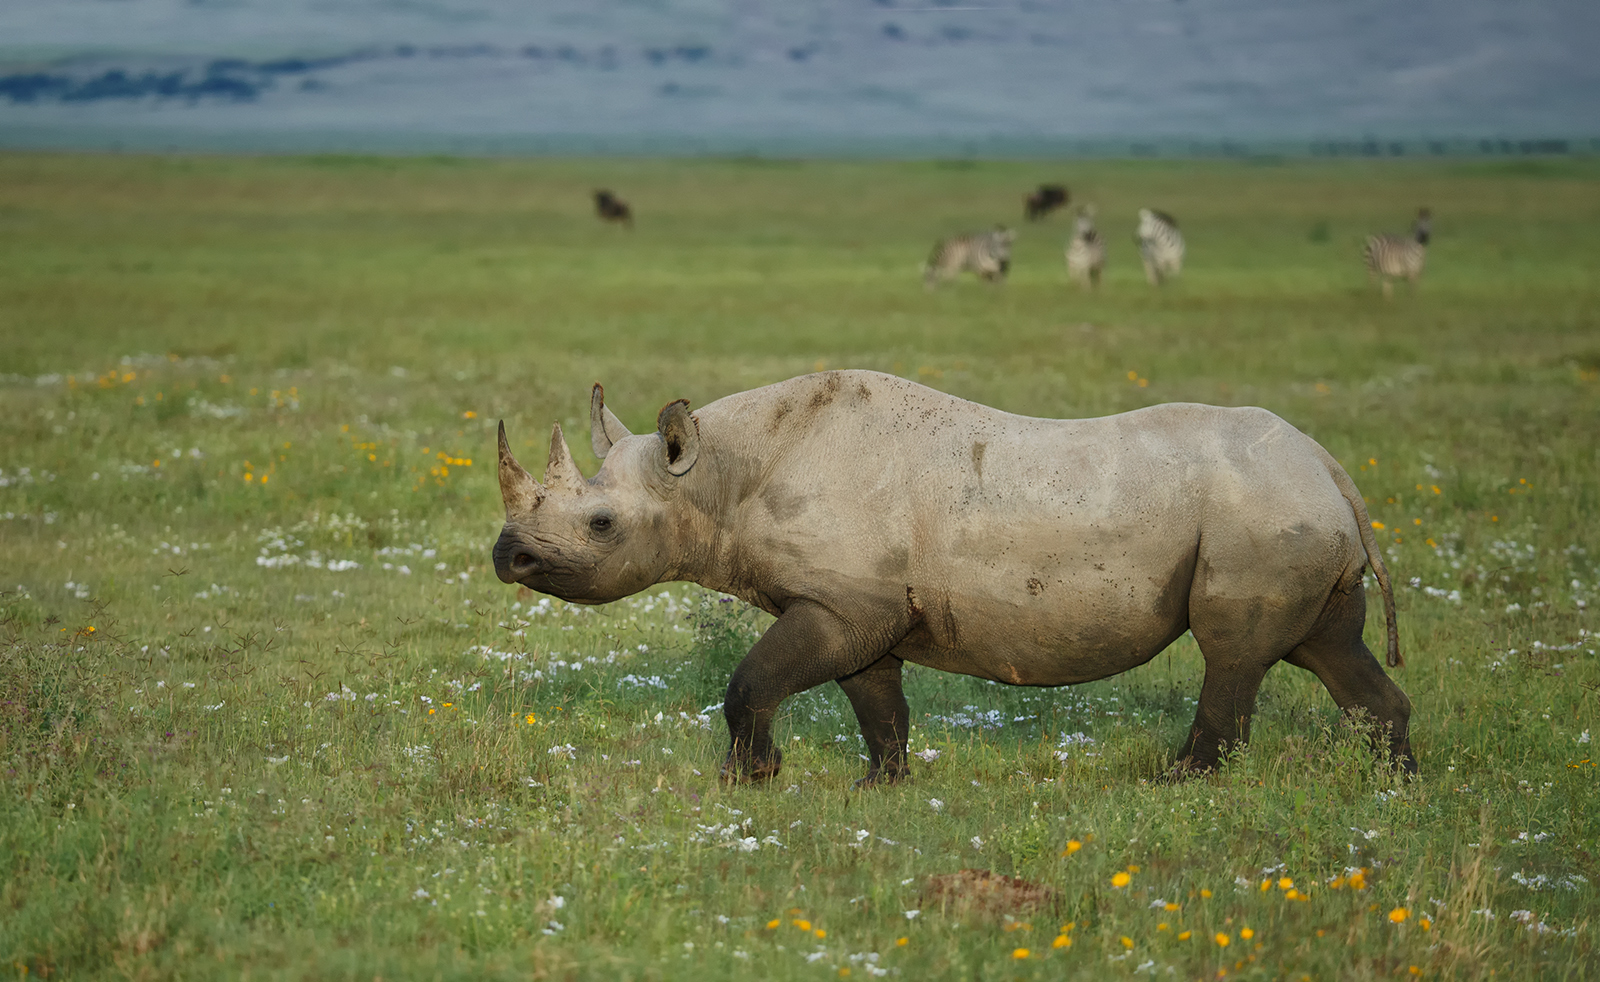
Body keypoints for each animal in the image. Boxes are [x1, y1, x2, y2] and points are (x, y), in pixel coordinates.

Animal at [492, 371, 1413, 786]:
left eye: (601, 525)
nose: (509, 557)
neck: (715, 476)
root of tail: (1331, 469)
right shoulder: (859, 607)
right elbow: (878, 704)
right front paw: (880, 787)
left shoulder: (840, 602)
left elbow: (749, 680)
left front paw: (747, 781)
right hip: (1290, 514)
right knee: (1330, 650)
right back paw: (1394, 785)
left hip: (1259, 515)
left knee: (1235, 656)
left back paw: (1177, 783)